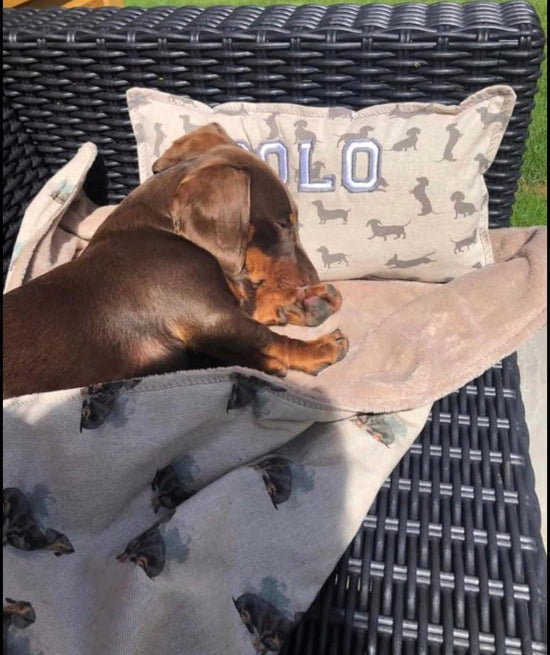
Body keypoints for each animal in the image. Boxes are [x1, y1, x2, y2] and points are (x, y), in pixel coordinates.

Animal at [3, 123, 350, 400]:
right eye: (282, 223)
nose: (311, 278)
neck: (161, 228)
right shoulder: (209, 318)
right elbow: (265, 337)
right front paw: (318, 347)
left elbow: (252, 302)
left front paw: (304, 300)